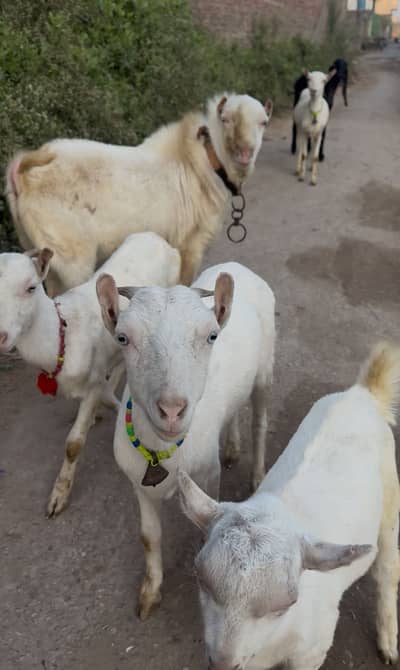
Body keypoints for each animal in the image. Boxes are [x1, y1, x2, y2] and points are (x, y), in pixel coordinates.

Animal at [0, 232, 180, 517]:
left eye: (31, 287)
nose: (1, 337)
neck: (63, 335)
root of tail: (155, 237)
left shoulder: (92, 382)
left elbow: (74, 443)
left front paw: (58, 497)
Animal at [6, 94, 273, 295]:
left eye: (264, 122)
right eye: (225, 119)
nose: (245, 152)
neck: (202, 162)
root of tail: (25, 169)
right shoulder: (190, 245)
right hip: (72, 256)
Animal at [96, 261, 275, 620]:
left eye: (211, 336)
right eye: (123, 338)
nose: (171, 409)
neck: (164, 451)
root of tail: (237, 266)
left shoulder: (207, 475)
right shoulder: (138, 484)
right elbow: (149, 536)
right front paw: (150, 593)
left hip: (265, 370)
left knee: (259, 422)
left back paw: (257, 474)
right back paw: (232, 447)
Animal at [179, 342, 400, 670]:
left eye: (288, 602)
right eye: (201, 579)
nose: (223, 664)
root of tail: (363, 393)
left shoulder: (312, 650)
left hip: (389, 496)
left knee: (387, 568)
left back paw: (387, 642)